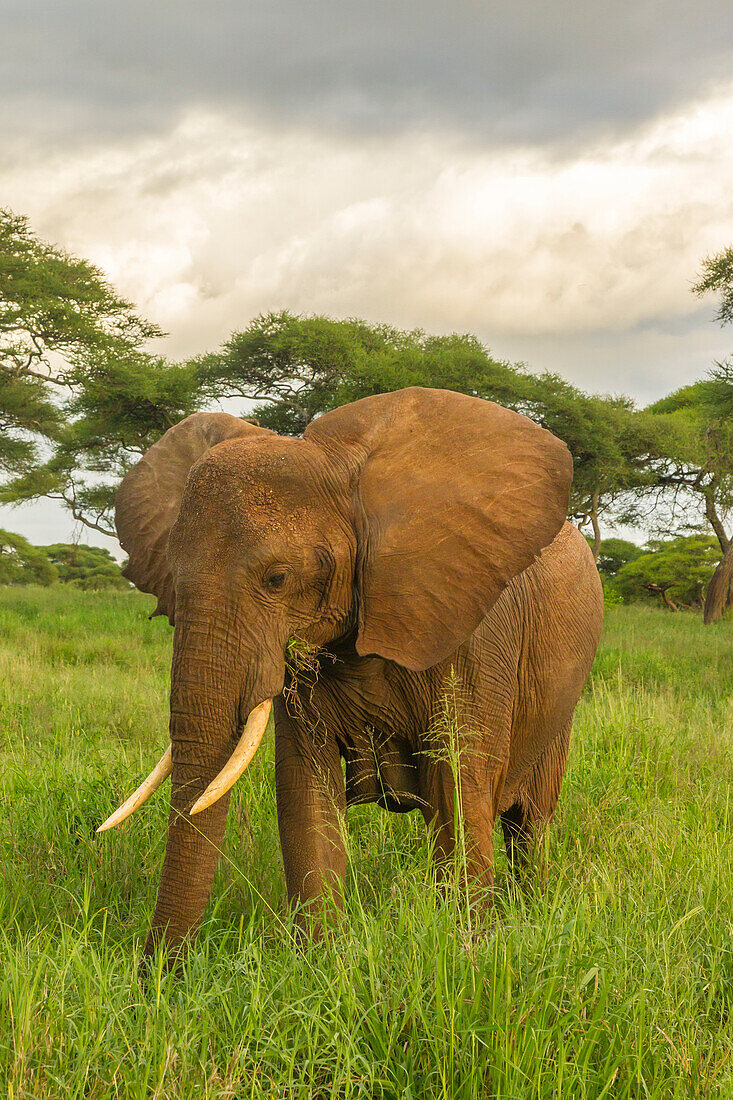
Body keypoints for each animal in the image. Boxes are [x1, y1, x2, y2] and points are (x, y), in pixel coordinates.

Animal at [98, 389, 598, 963]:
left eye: (277, 578)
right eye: (172, 581)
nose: (155, 972)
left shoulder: (474, 631)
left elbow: (459, 782)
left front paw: (470, 952)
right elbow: (303, 789)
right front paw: (321, 960)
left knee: (529, 820)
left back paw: (531, 908)